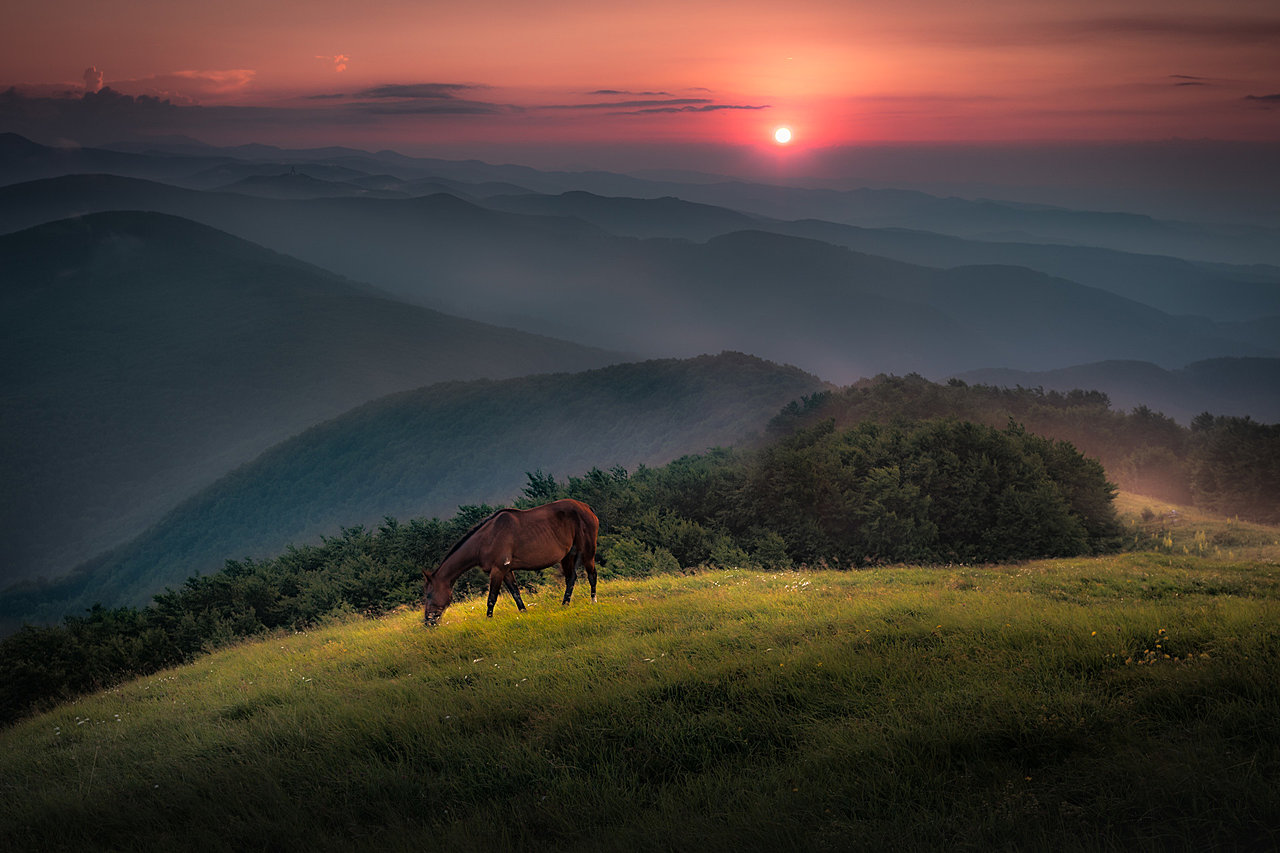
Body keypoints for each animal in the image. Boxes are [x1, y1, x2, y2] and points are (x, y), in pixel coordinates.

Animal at [422, 499, 596, 625]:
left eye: (429, 594)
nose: (428, 622)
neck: (486, 539)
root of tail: (586, 507)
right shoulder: (506, 571)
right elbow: (516, 593)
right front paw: (524, 613)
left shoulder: (497, 570)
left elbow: (492, 598)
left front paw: (488, 620)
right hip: (567, 556)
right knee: (571, 578)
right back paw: (564, 605)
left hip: (588, 551)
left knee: (591, 575)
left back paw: (593, 601)